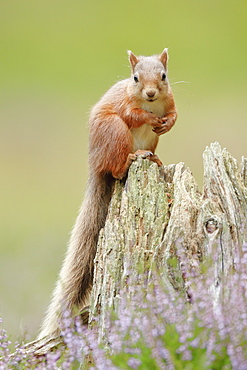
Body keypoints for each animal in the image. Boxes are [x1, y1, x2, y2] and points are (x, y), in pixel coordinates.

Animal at [38, 48, 177, 338]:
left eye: (163, 76)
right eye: (135, 78)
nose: (150, 93)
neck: (150, 102)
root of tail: (95, 163)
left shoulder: (170, 99)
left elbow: (174, 113)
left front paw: (167, 122)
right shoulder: (124, 105)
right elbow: (134, 114)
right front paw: (148, 117)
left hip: (149, 140)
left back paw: (155, 158)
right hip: (114, 132)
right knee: (115, 170)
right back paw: (130, 160)